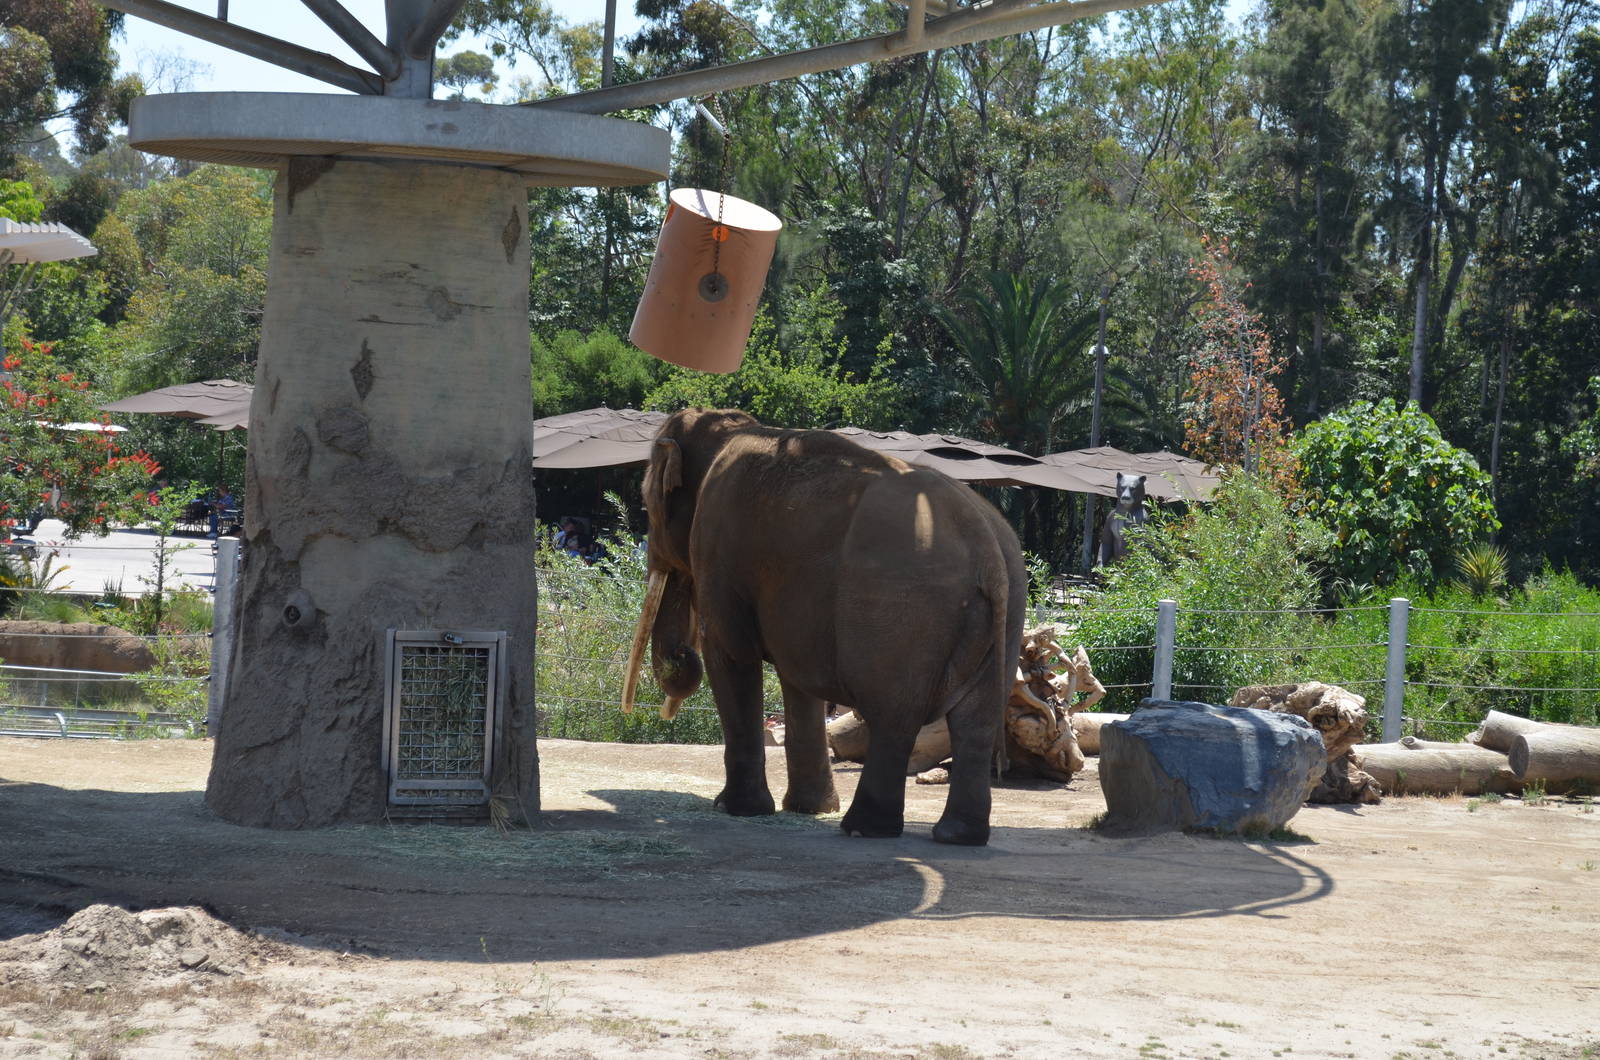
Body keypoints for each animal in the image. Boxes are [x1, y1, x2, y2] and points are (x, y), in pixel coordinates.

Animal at [621, 408, 1026, 846]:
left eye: (648, 504)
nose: (682, 654)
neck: (731, 428)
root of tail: (987, 549)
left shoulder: (717, 546)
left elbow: (731, 653)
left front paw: (735, 809)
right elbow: (797, 677)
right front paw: (809, 809)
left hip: (903, 611)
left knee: (895, 716)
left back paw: (863, 829)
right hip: (1007, 614)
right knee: (976, 723)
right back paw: (956, 835)